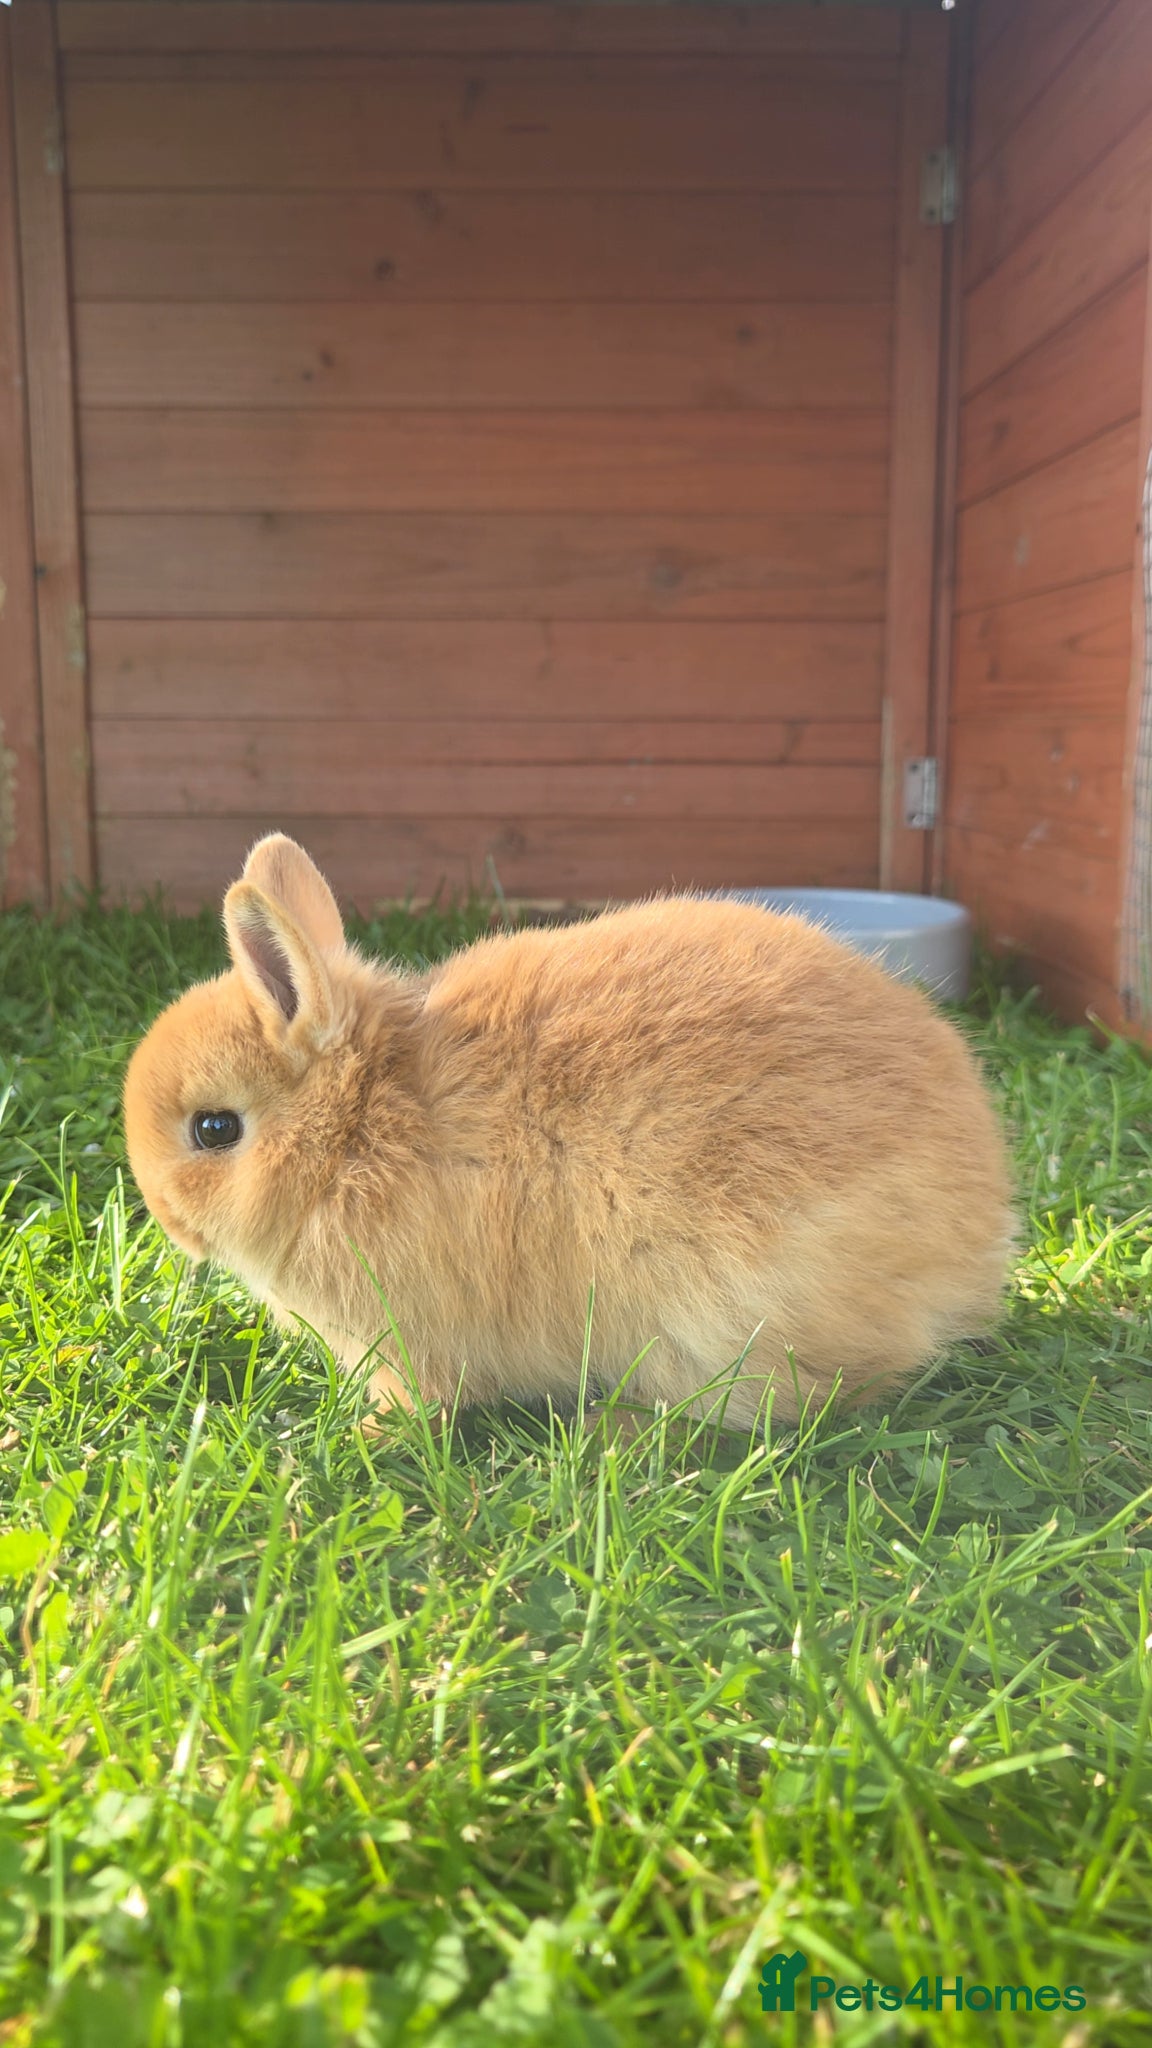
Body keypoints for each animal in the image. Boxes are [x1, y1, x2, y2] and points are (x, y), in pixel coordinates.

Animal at [123, 834, 1015, 1430]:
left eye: (213, 1129)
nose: (166, 1221)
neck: (358, 1130)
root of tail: (975, 1246)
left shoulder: (412, 1338)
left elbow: (418, 1400)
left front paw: (368, 1433)